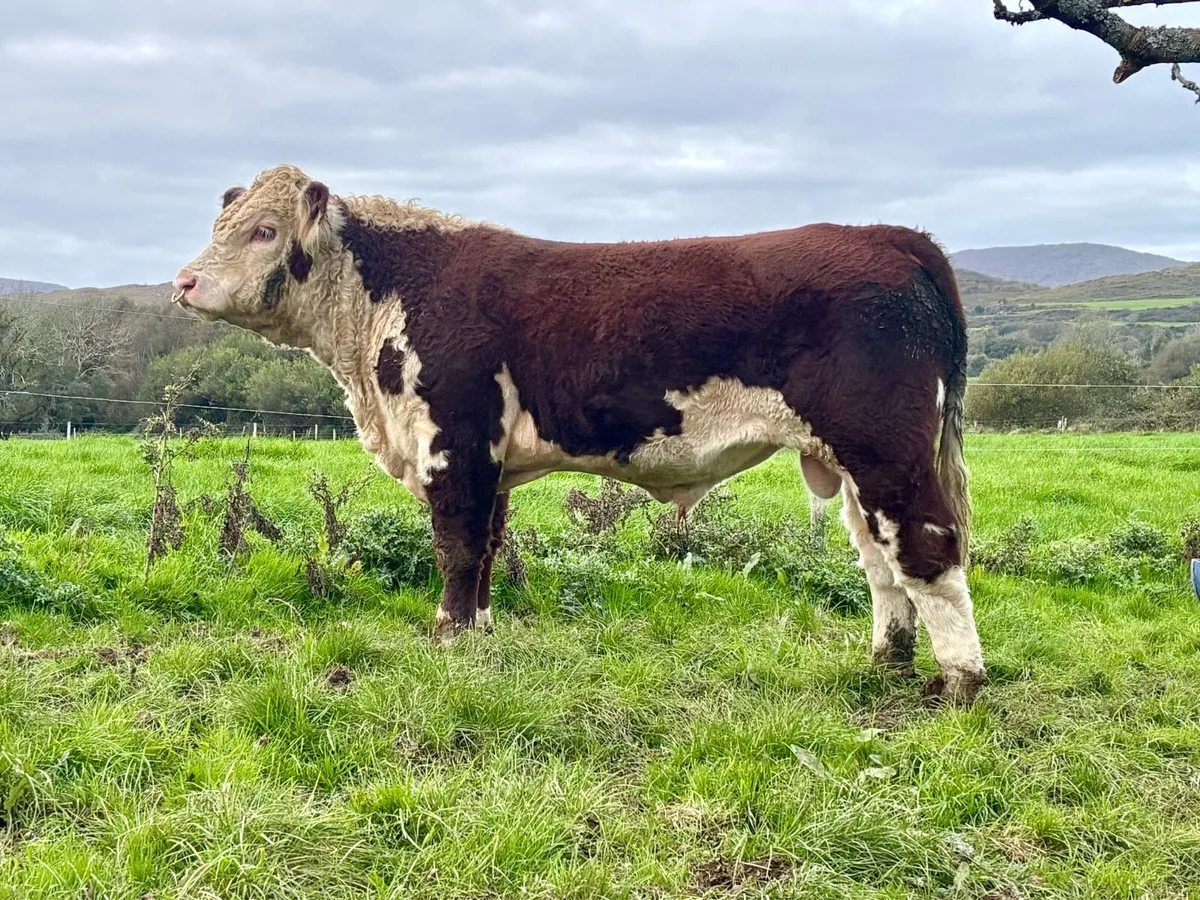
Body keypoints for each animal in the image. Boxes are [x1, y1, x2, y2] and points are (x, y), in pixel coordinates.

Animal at [171, 164, 985, 704]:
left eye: (264, 230)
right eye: (221, 226)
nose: (181, 283)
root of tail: (889, 237)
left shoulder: (454, 440)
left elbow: (456, 547)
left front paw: (447, 638)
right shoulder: (490, 459)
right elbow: (488, 548)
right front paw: (481, 632)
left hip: (886, 447)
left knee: (929, 546)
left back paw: (960, 683)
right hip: (846, 461)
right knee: (881, 563)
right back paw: (886, 664)